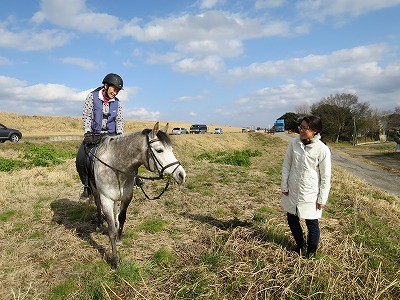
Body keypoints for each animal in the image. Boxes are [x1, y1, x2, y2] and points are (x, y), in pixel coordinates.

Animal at [85, 123, 184, 268]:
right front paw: (115, 261)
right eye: (159, 150)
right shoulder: (106, 199)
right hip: (95, 190)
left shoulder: (127, 196)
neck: (116, 167)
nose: (181, 175)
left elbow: (122, 218)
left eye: (171, 149)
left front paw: (119, 238)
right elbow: (111, 230)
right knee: (97, 205)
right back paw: (98, 224)